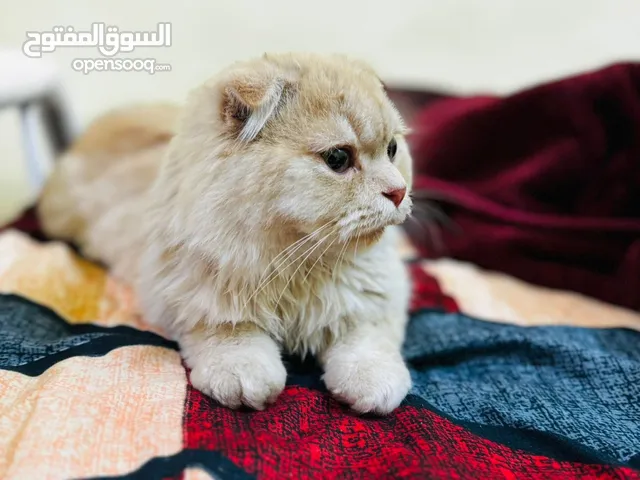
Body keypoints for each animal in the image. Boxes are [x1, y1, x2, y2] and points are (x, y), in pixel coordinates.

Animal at [37, 51, 416, 412]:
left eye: (392, 150)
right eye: (338, 158)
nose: (398, 192)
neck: (298, 266)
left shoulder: (375, 304)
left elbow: (367, 344)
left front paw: (371, 383)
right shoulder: (200, 306)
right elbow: (235, 343)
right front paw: (246, 378)